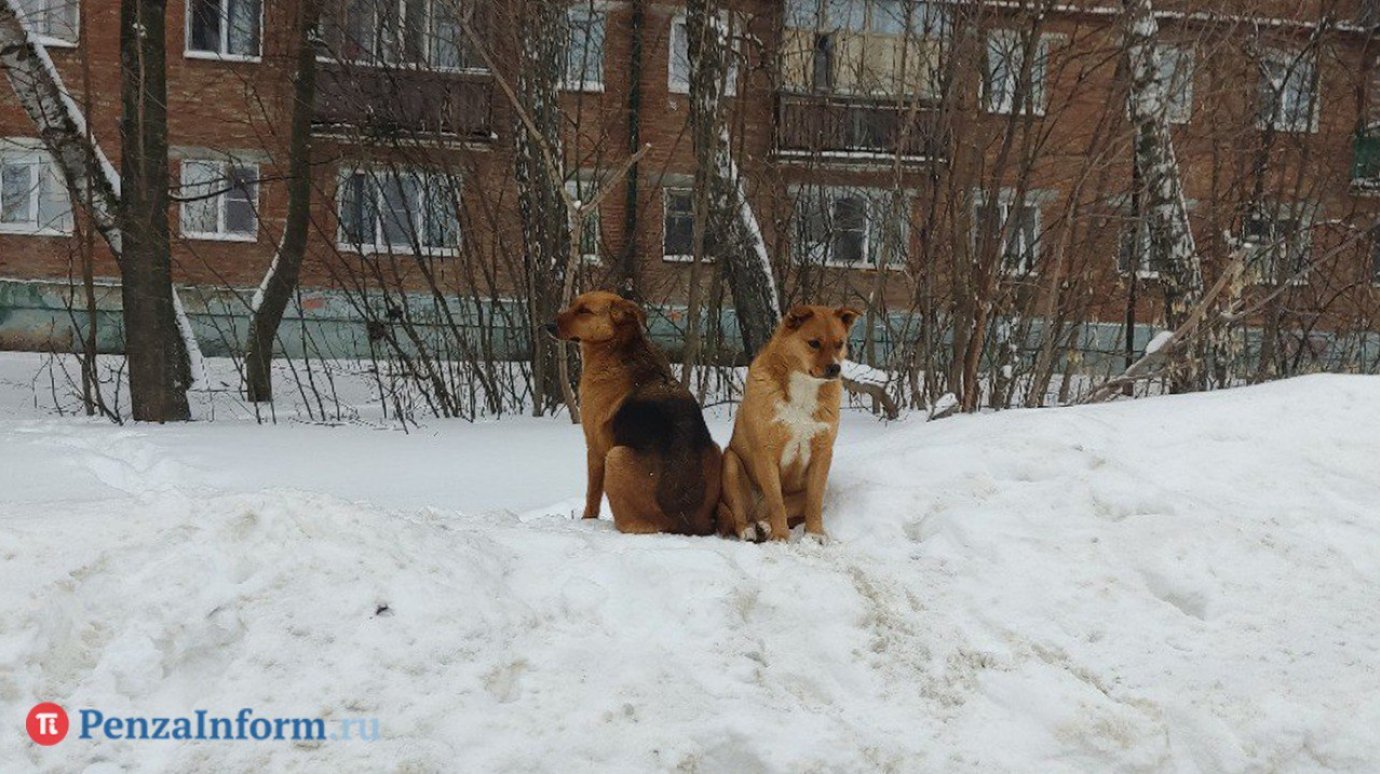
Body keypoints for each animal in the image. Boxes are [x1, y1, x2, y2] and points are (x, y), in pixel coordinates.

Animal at [546, 292, 728, 535]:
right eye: (573, 305)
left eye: (584, 311)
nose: (547, 325)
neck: (617, 348)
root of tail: (684, 521)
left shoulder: (595, 448)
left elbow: (592, 495)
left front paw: (586, 521)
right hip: (715, 448)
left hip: (615, 457)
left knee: (630, 525)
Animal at [717, 304, 855, 540]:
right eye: (814, 343)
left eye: (840, 343)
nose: (835, 368)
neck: (804, 389)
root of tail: (756, 511)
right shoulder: (766, 452)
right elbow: (777, 502)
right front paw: (781, 537)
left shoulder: (823, 452)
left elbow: (814, 502)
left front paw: (815, 534)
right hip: (731, 464)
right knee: (740, 514)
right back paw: (749, 529)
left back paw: (765, 525)